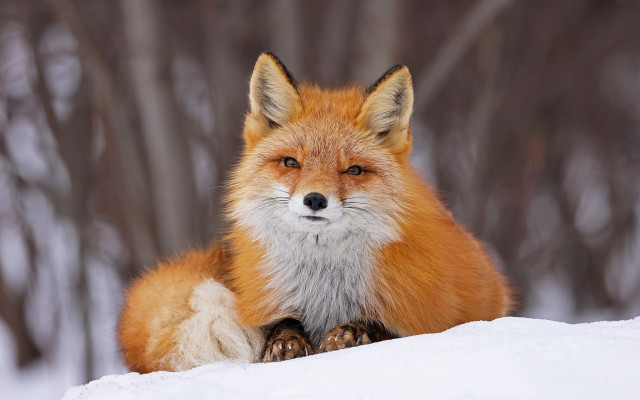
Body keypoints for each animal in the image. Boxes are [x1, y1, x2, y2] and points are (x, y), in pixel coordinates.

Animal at [118, 52, 513, 373]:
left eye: (353, 170)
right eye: (291, 163)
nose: (315, 200)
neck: (324, 289)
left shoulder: (430, 319)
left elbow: (384, 330)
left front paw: (349, 334)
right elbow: (281, 324)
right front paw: (285, 341)